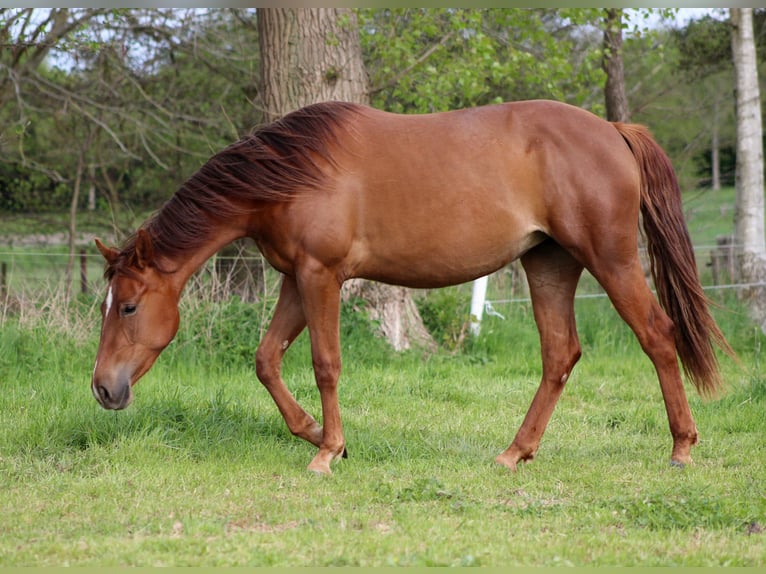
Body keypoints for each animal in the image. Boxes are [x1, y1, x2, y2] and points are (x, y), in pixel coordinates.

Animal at [91, 99, 732, 475]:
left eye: (128, 307)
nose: (102, 389)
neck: (293, 174)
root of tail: (613, 131)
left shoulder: (321, 276)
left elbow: (325, 363)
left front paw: (327, 452)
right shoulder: (297, 280)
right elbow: (267, 359)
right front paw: (317, 433)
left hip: (610, 260)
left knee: (657, 336)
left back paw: (681, 448)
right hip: (549, 264)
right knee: (560, 354)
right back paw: (514, 453)